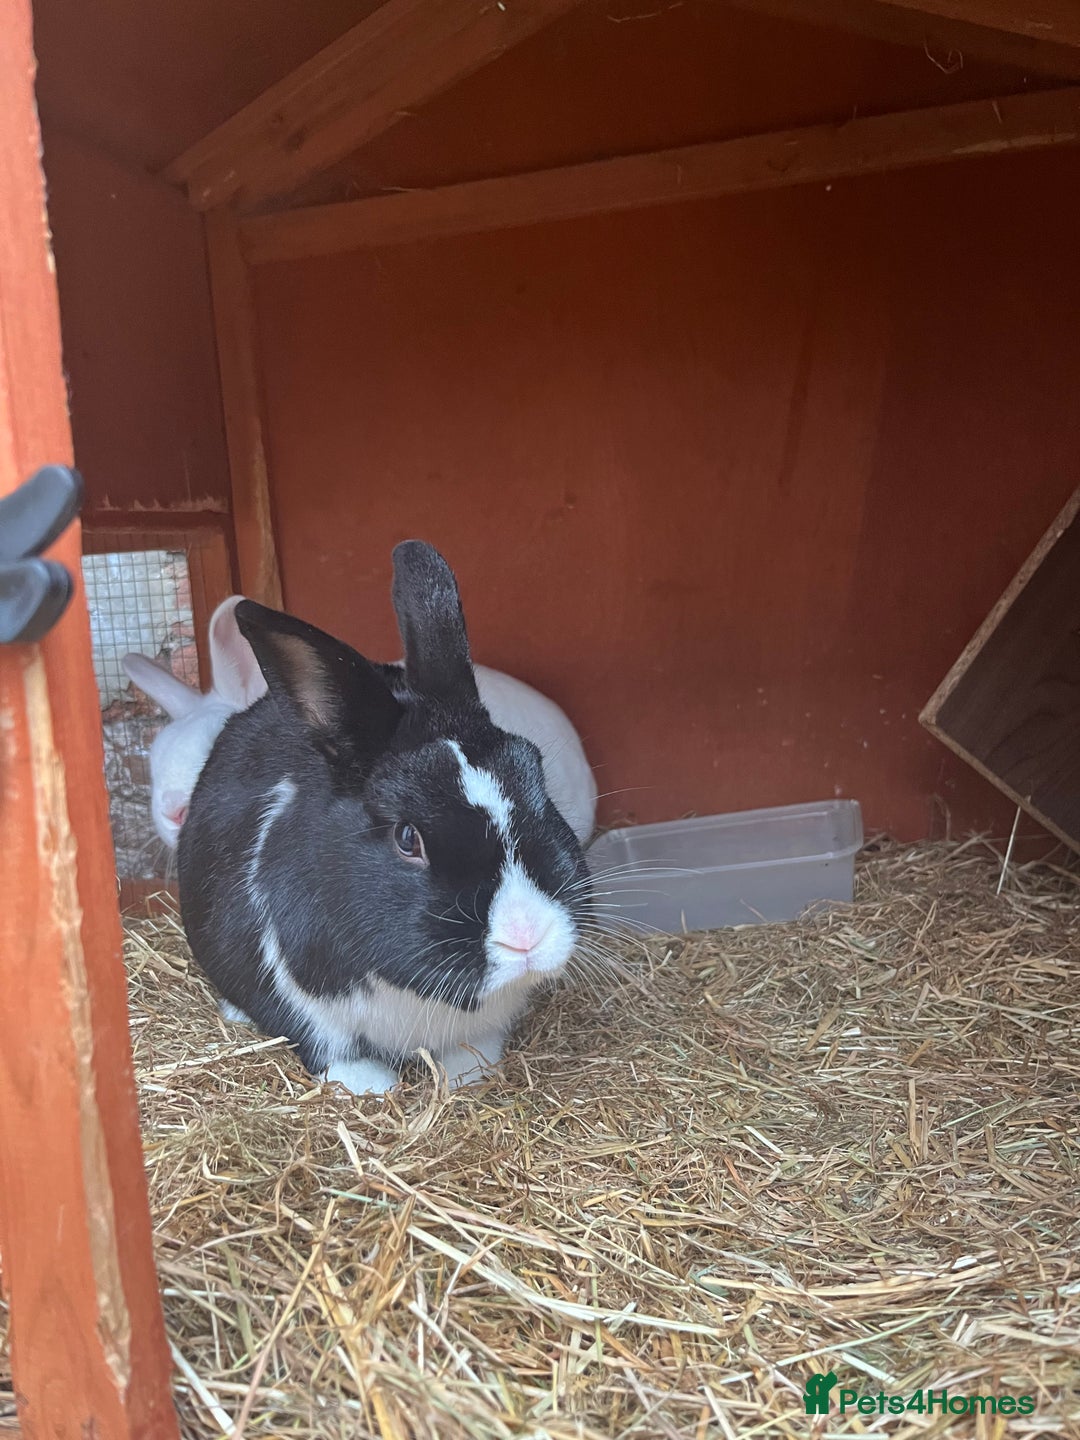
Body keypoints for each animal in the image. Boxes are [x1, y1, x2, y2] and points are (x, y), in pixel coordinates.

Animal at [177, 541, 594, 1095]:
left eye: (536, 779)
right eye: (406, 837)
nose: (526, 937)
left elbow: (473, 1048)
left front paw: (468, 1076)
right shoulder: (299, 1003)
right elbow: (328, 1047)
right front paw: (373, 1087)